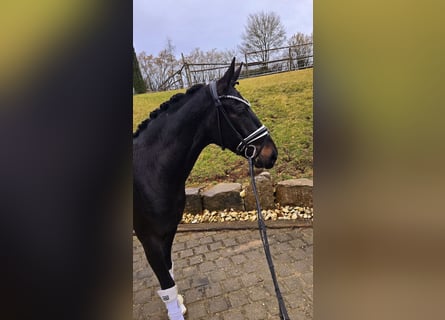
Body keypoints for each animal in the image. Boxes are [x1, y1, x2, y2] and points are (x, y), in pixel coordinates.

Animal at [134, 58, 276, 318]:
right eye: (239, 109)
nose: (272, 154)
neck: (150, 170)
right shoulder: (150, 239)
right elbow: (166, 285)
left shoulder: (168, 231)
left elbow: (170, 272)